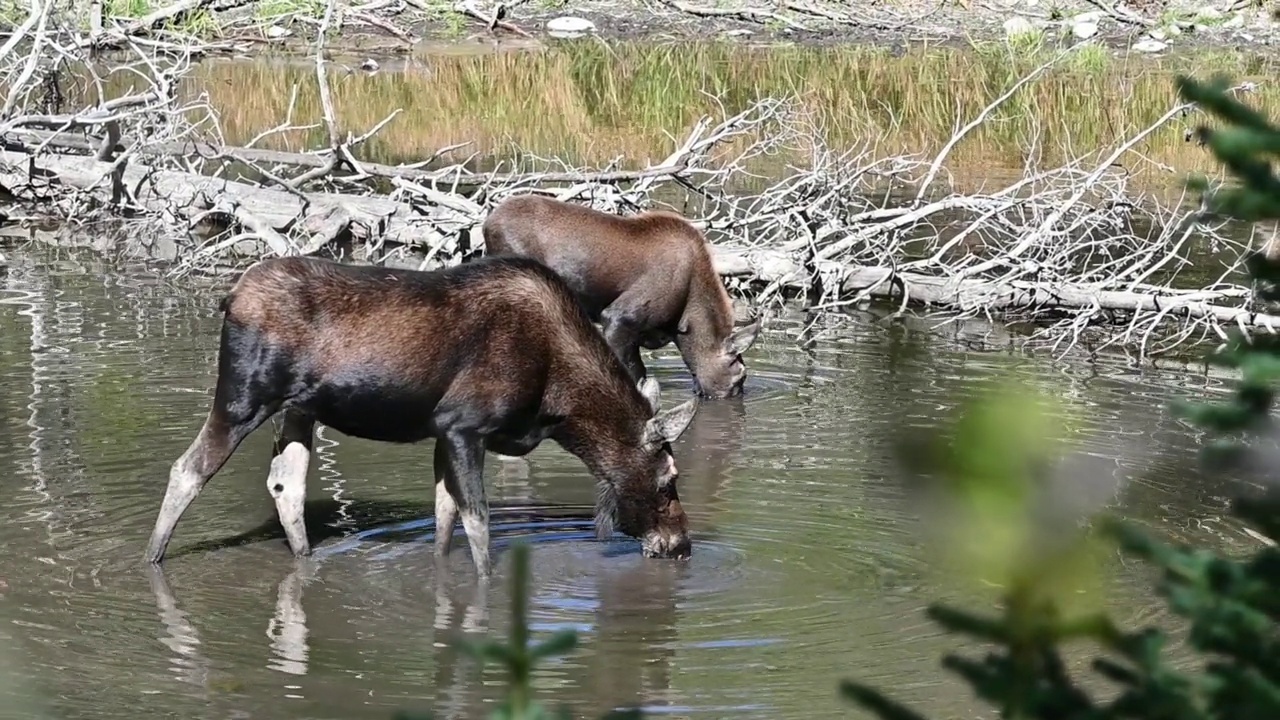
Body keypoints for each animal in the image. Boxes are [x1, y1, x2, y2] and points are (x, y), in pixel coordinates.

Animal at [147, 253, 701, 576]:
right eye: (667, 480)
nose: (681, 545)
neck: (560, 406)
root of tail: (229, 297)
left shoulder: (443, 433)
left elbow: (443, 518)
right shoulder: (464, 427)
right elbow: (478, 526)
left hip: (298, 410)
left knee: (287, 486)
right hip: (243, 396)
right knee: (186, 469)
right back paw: (152, 558)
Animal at [481, 193, 757, 397]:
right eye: (740, 376)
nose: (738, 395)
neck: (683, 323)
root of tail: (485, 224)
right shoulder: (618, 319)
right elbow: (635, 375)